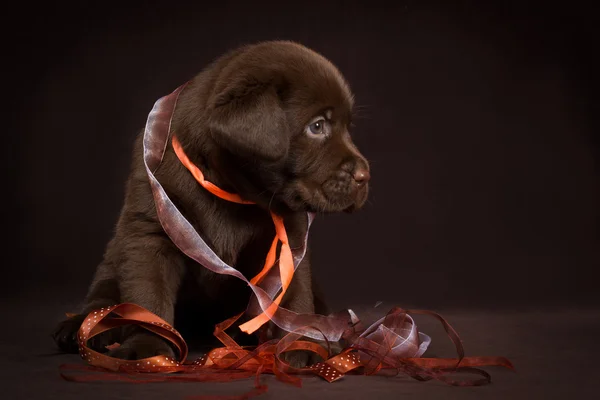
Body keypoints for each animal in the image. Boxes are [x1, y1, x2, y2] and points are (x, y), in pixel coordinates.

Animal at [52, 39, 370, 366]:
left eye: (347, 126)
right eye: (317, 126)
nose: (365, 175)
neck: (230, 188)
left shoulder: (289, 240)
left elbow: (295, 297)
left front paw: (302, 344)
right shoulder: (151, 233)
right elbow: (149, 300)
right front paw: (148, 348)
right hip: (113, 259)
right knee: (102, 293)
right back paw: (82, 326)